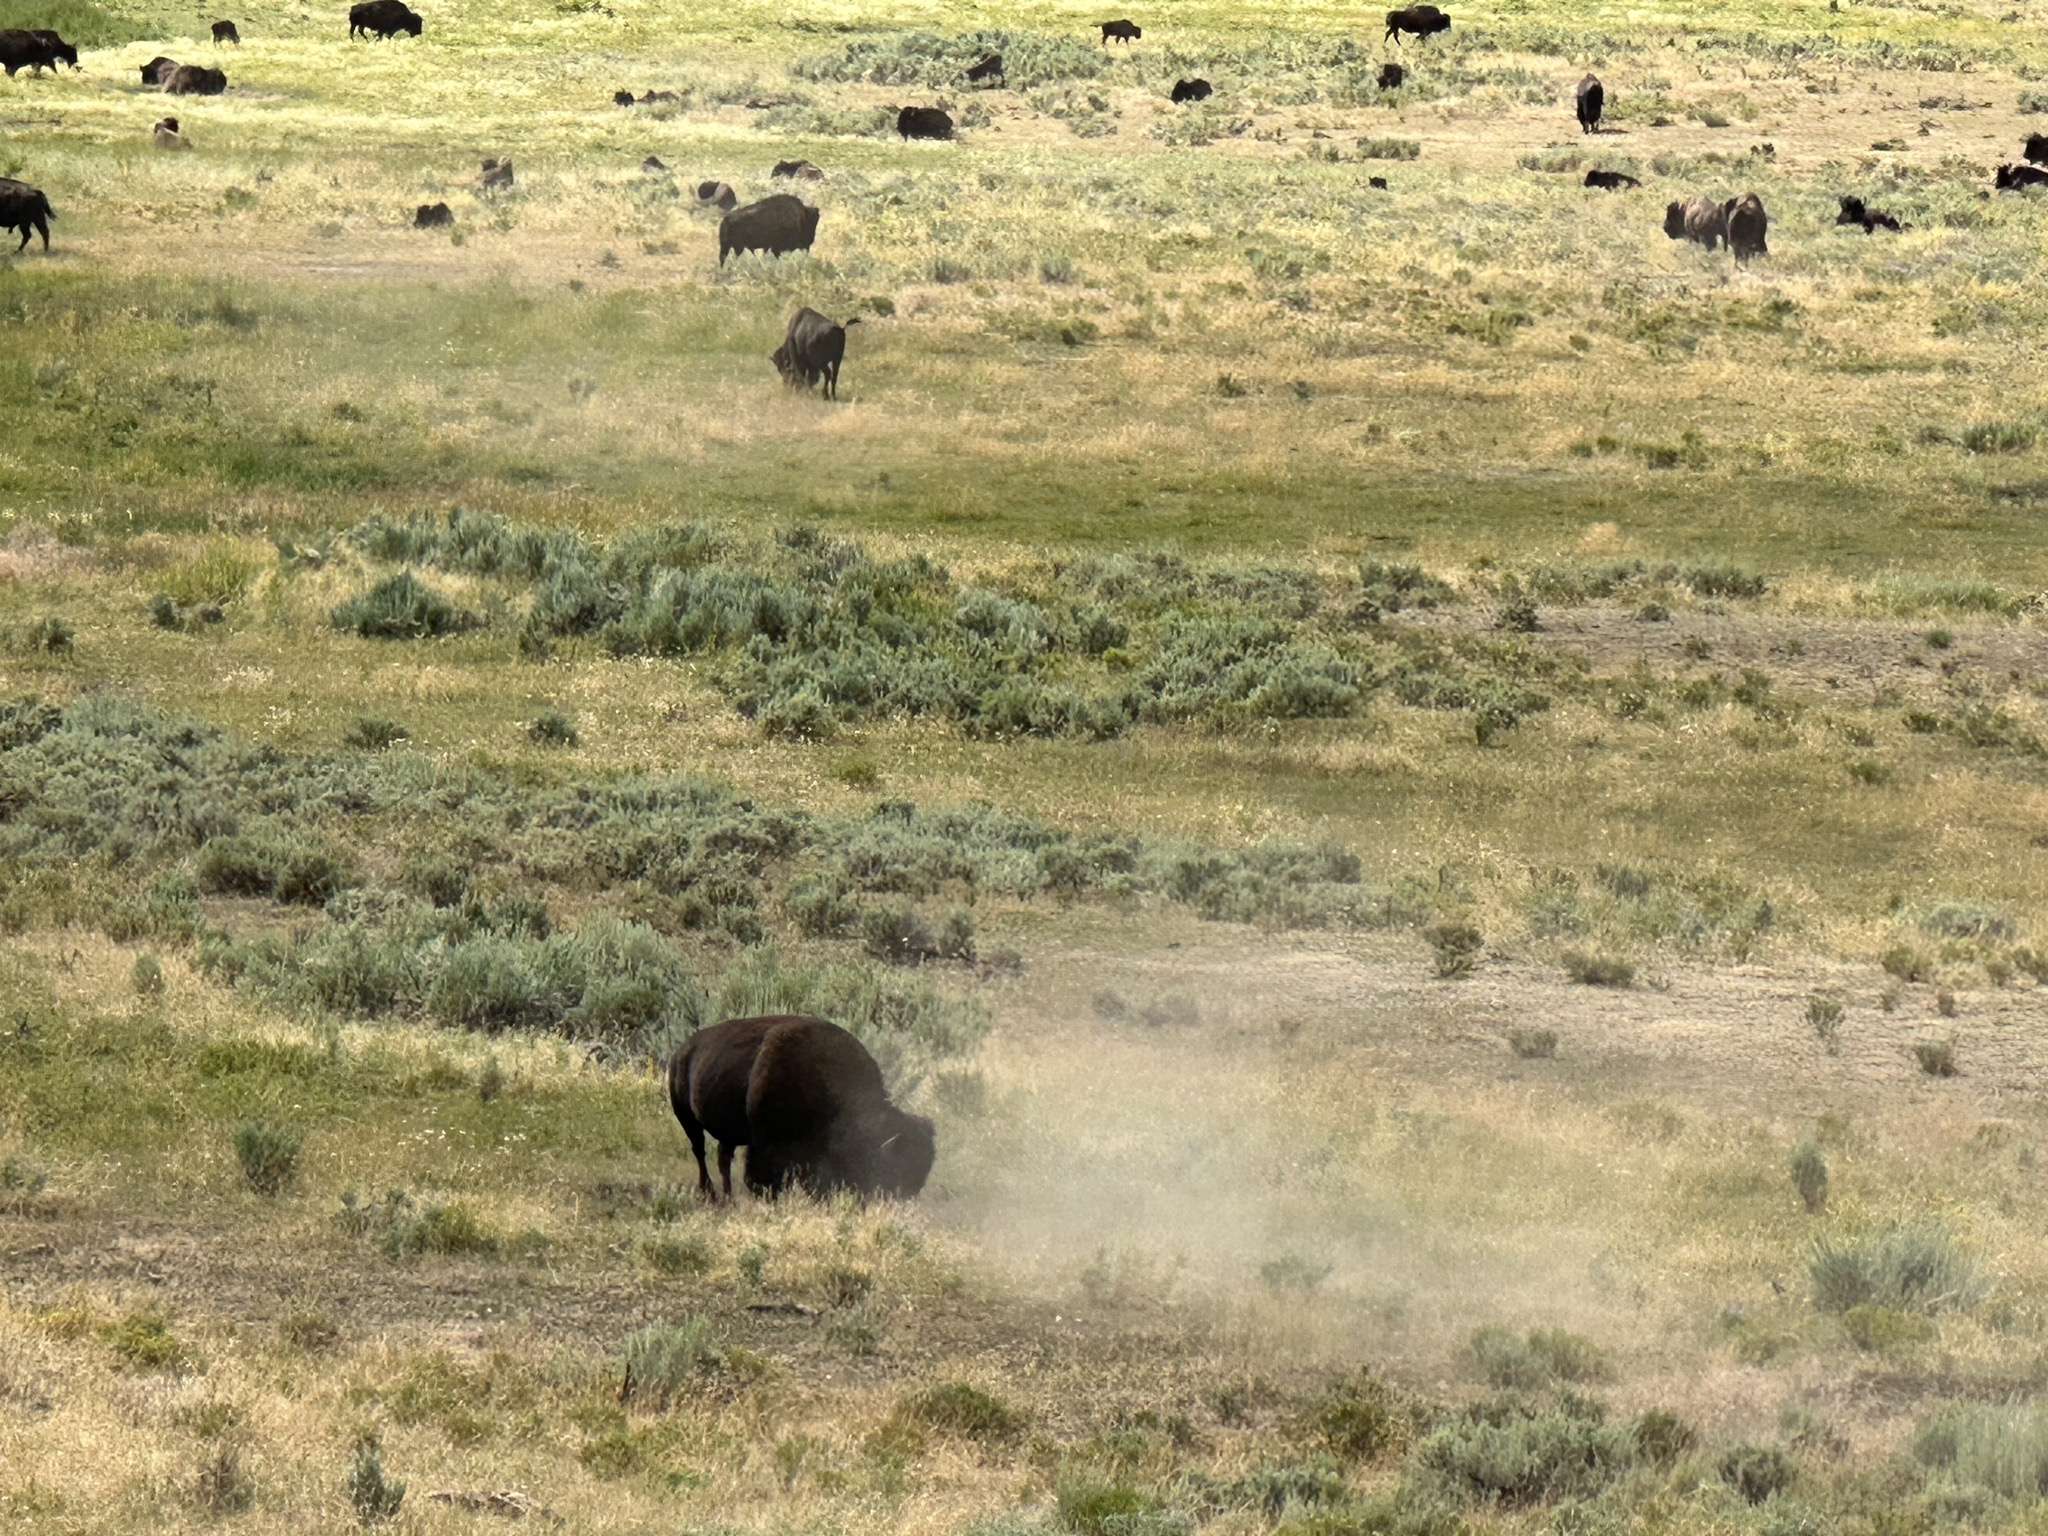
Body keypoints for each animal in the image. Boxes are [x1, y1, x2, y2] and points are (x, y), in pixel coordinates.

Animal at [667, 1015, 935, 1201]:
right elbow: (761, 1175)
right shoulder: (765, 1143)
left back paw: (728, 1197)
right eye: (891, 1167)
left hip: (727, 1134)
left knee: (722, 1158)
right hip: (687, 1118)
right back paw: (709, 1194)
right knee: (700, 1152)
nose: (906, 1195)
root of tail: (681, 1051)